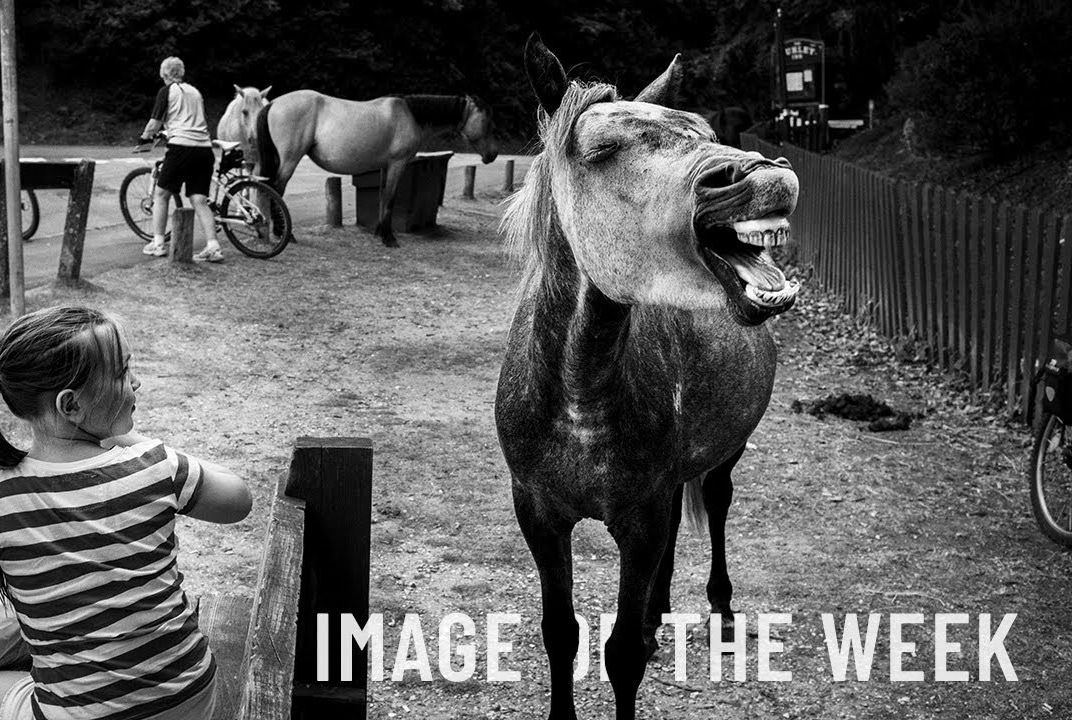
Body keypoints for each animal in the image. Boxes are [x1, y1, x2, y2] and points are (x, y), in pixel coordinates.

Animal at [254, 89, 497, 247]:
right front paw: (388, 238)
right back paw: (284, 234)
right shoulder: (397, 165)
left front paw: (380, 232)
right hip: (290, 159)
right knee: (276, 189)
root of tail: (274, 103)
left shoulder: (384, 167)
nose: (493, 155)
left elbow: (382, 197)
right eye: (486, 120)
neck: (409, 115)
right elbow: (390, 198)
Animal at [497, 35, 801, 720]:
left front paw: (643, 635)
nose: (767, 177)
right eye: (602, 150)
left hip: (723, 456)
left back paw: (719, 615)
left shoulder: (641, 517)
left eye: (706, 131)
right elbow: (561, 634)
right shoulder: (540, 515)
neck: (579, 393)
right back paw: (658, 616)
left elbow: (620, 655)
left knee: (716, 504)